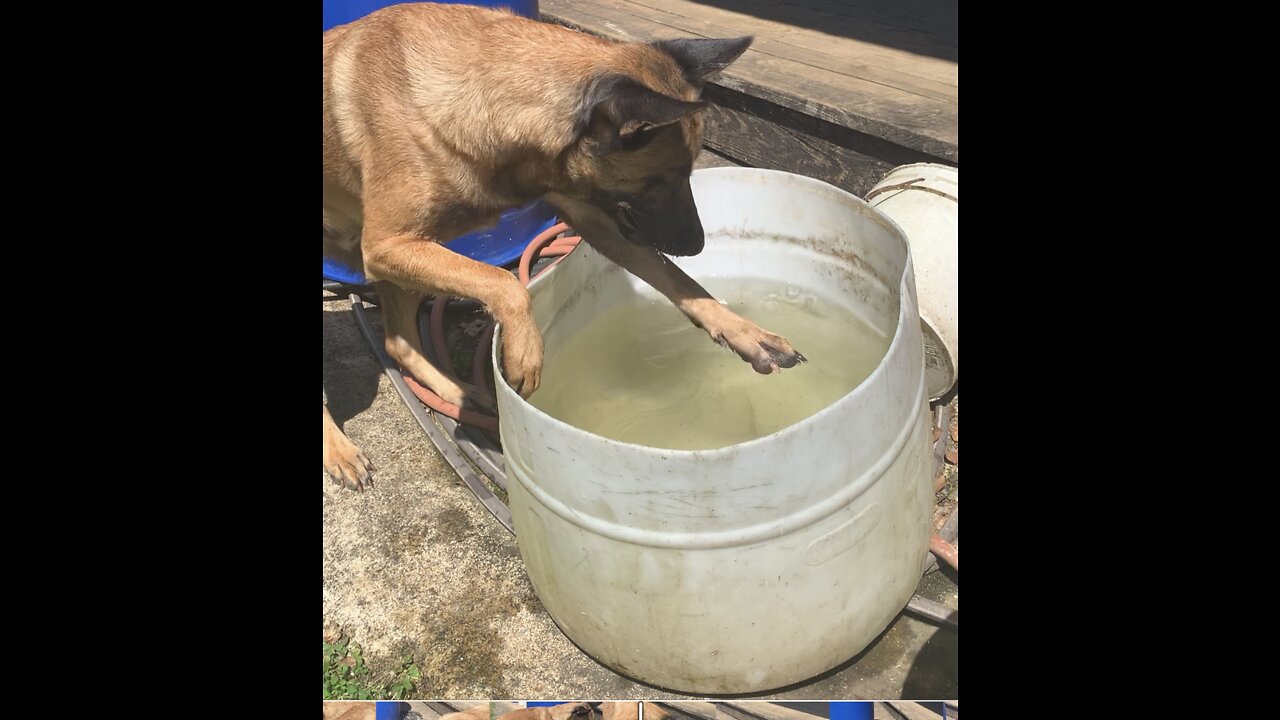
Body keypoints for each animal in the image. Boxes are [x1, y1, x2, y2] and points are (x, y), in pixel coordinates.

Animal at [322, 2, 798, 486]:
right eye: (662, 179)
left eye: (690, 169)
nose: (699, 244)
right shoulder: (386, 245)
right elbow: (504, 281)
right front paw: (525, 353)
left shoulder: (588, 213)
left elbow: (677, 279)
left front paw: (743, 330)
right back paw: (338, 450)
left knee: (399, 342)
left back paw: (458, 392)